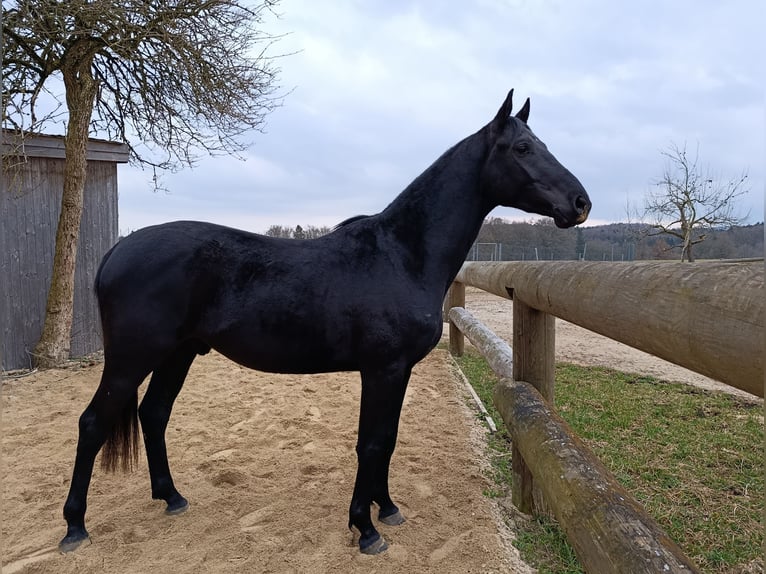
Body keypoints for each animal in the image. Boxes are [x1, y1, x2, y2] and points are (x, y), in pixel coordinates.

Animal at [60, 91, 592, 560]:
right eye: (522, 148)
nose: (581, 203)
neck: (401, 255)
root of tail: (118, 250)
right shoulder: (382, 370)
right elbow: (370, 443)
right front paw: (365, 529)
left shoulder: (399, 372)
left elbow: (388, 440)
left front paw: (388, 508)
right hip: (132, 359)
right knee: (92, 423)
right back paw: (74, 527)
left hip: (179, 353)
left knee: (154, 414)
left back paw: (171, 498)